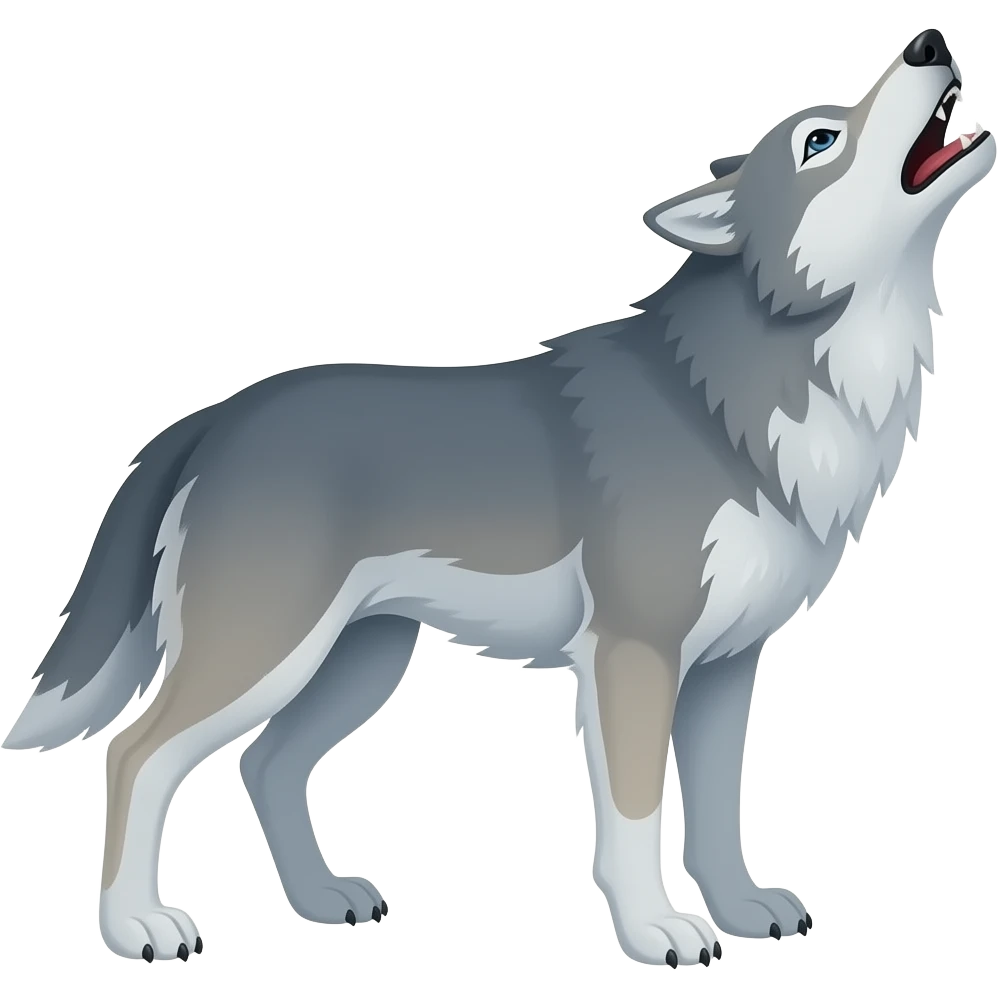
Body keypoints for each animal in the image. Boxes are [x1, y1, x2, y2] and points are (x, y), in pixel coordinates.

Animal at [3, 28, 994, 968]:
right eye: (820, 138)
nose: (931, 42)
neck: (737, 393)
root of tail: (211, 419)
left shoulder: (725, 667)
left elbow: (719, 811)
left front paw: (744, 912)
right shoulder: (634, 655)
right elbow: (634, 819)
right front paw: (658, 932)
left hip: (360, 660)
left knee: (267, 764)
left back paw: (322, 900)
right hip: (266, 653)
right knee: (135, 754)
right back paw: (139, 926)